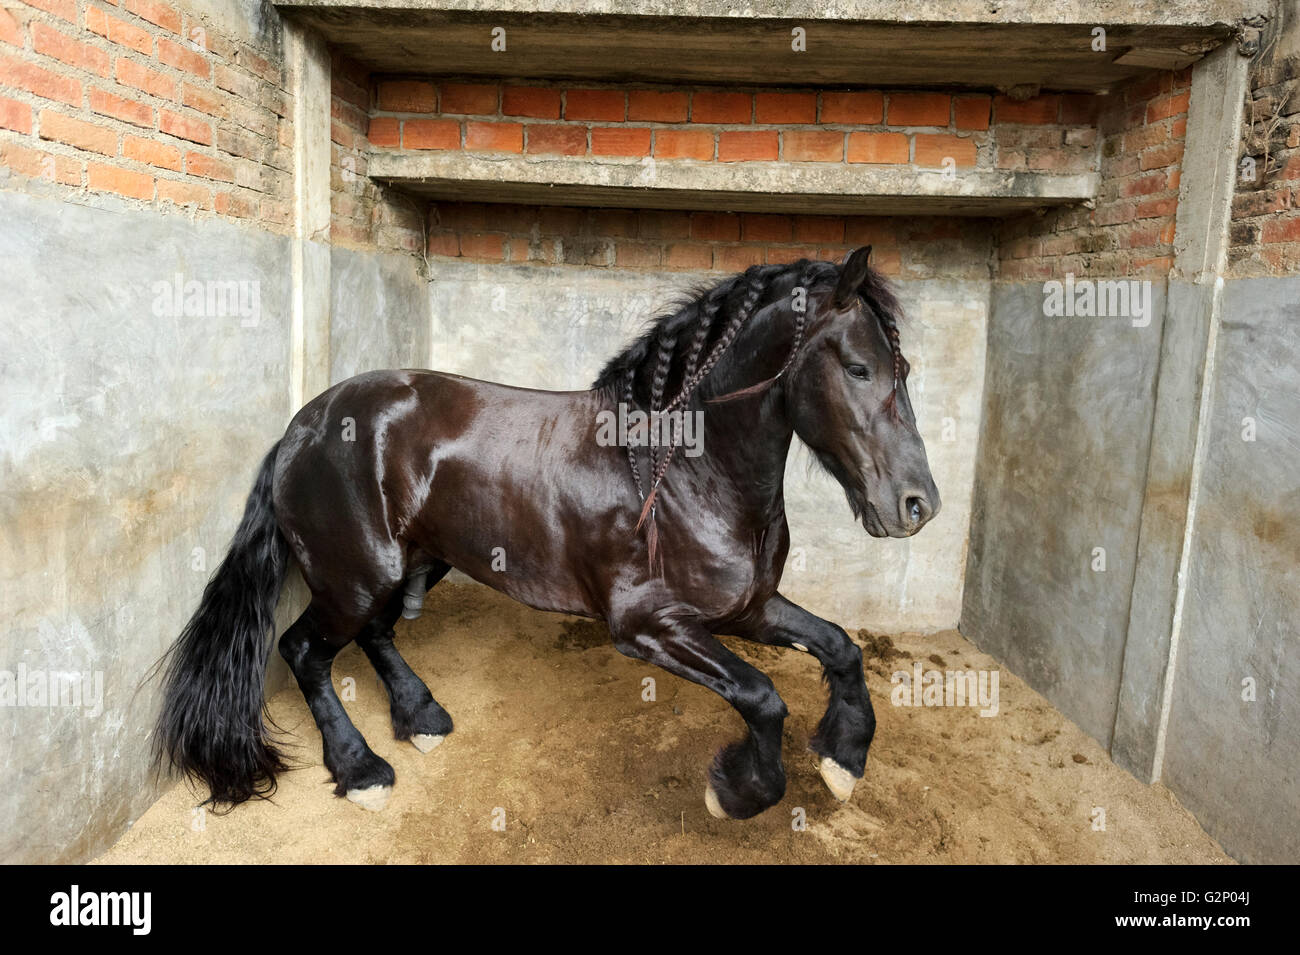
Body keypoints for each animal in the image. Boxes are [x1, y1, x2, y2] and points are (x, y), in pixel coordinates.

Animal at [157, 248, 941, 821]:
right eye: (859, 367)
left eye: (903, 368)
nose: (918, 506)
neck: (679, 470)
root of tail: (303, 424)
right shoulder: (649, 627)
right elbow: (762, 696)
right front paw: (735, 791)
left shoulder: (746, 608)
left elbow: (840, 648)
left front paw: (843, 762)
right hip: (356, 574)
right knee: (304, 650)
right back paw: (363, 770)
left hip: (414, 561)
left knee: (376, 634)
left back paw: (422, 718)